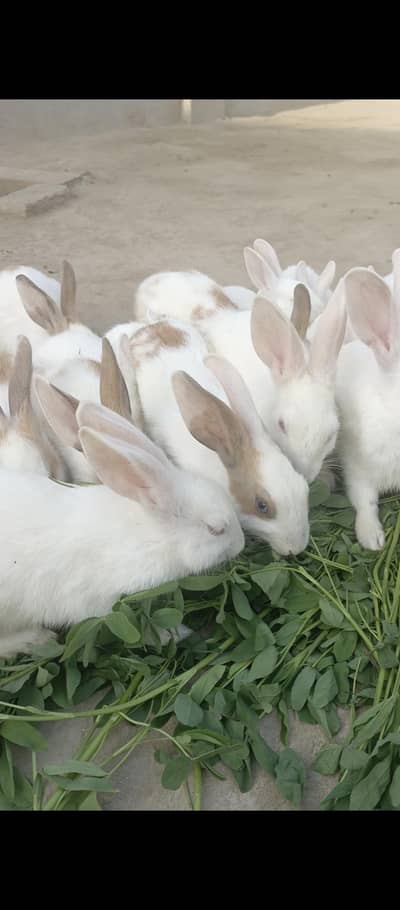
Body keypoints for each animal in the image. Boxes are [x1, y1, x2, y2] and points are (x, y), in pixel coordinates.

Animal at [0, 401, 244, 657]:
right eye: (216, 530)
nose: (242, 544)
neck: (151, 535)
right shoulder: (97, 602)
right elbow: (134, 625)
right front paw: (176, 634)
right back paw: (35, 639)